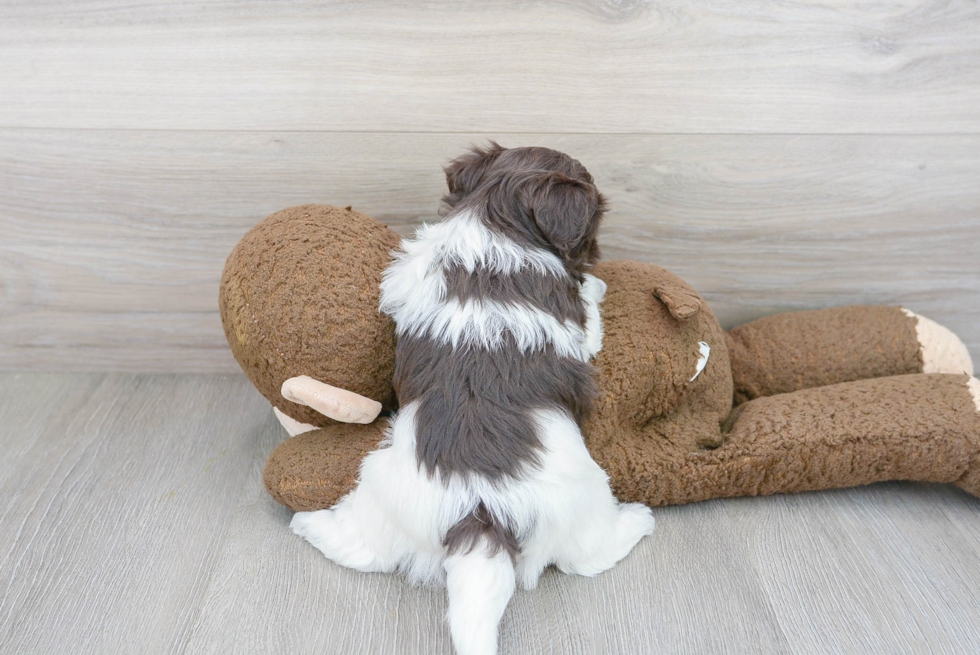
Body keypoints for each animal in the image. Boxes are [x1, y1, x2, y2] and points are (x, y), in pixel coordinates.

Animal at [292, 144, 660, 655]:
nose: (595, 255)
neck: (496, 222)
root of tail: (481, 514)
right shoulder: (580, 331)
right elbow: (590, 316)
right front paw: (596, 285)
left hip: (382, 490)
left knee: (364, 546)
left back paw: (308, 525)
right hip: (586, 501)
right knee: (588, 555)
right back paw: (639, 520)